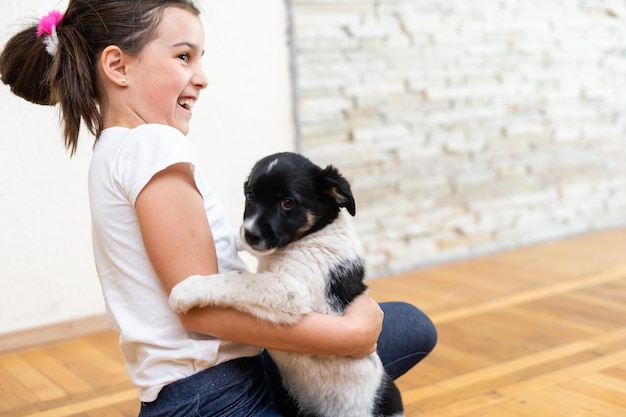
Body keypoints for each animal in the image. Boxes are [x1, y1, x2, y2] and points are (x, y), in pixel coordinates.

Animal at [171, 153, 402, 416]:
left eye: (288, 203)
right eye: (250, 196)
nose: (251, 234)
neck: (311, 235)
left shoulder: (292, 292)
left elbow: (239, 279)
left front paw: (188, 289)